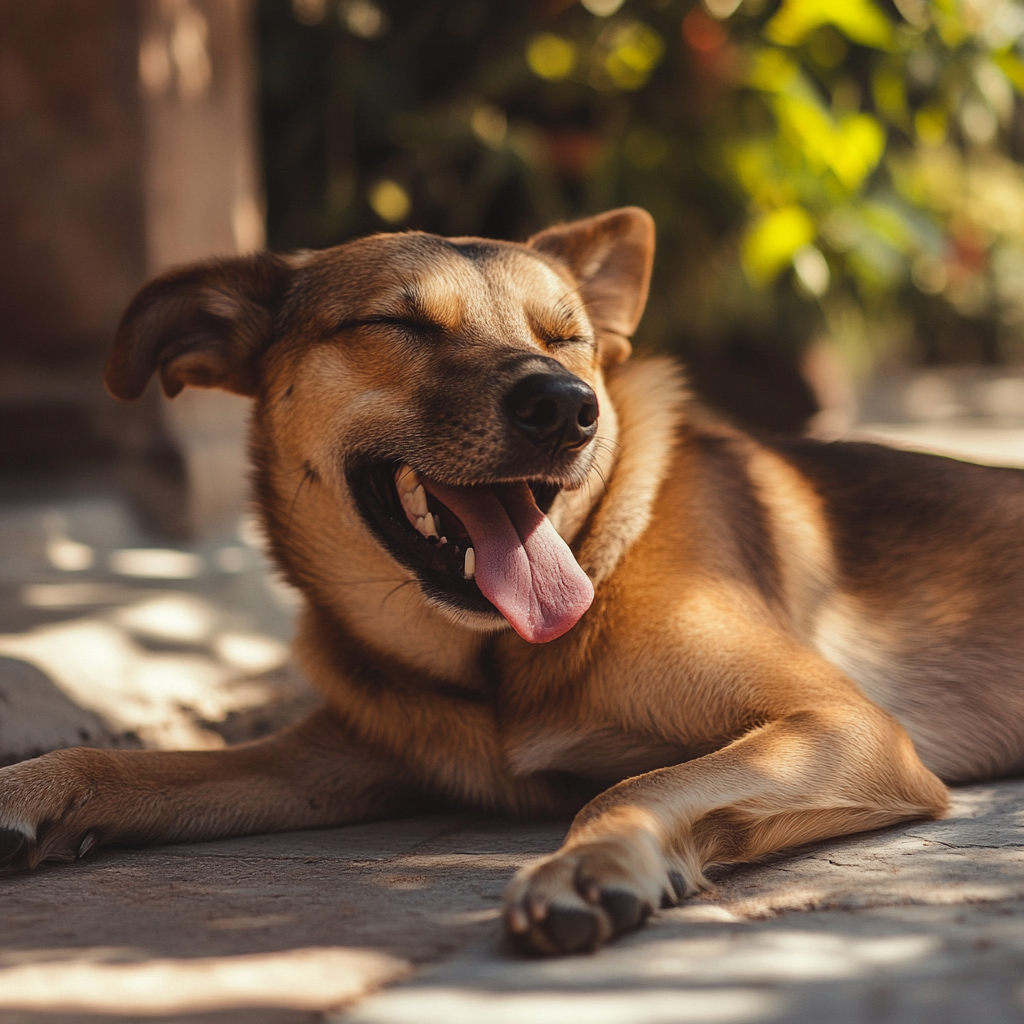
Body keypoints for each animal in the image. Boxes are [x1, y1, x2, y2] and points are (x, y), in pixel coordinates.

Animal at [2, 203, 1024, 954]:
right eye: (398, 322)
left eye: (566, 338)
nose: (566, 408)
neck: (495, 661)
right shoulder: (332, 763)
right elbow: (131, 766)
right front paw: (30, 789)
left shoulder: (845, 726)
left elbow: (634, 784)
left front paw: (586, 865)